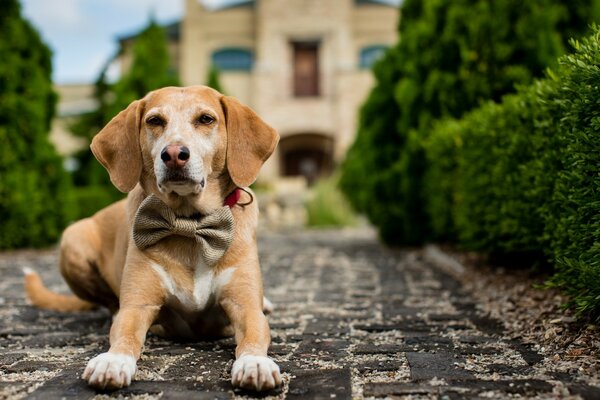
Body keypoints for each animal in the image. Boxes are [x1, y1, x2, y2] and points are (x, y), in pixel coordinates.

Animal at [24, 86, 282, 390]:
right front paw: (113, 361)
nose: (174, 154)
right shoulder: (138, 305)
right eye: (155, 121)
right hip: (73, 238)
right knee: (110, 304)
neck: (188, 224)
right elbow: (125, 333)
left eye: (206, 119)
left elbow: (254, 333)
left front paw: (255, 363)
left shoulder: (244, 306)